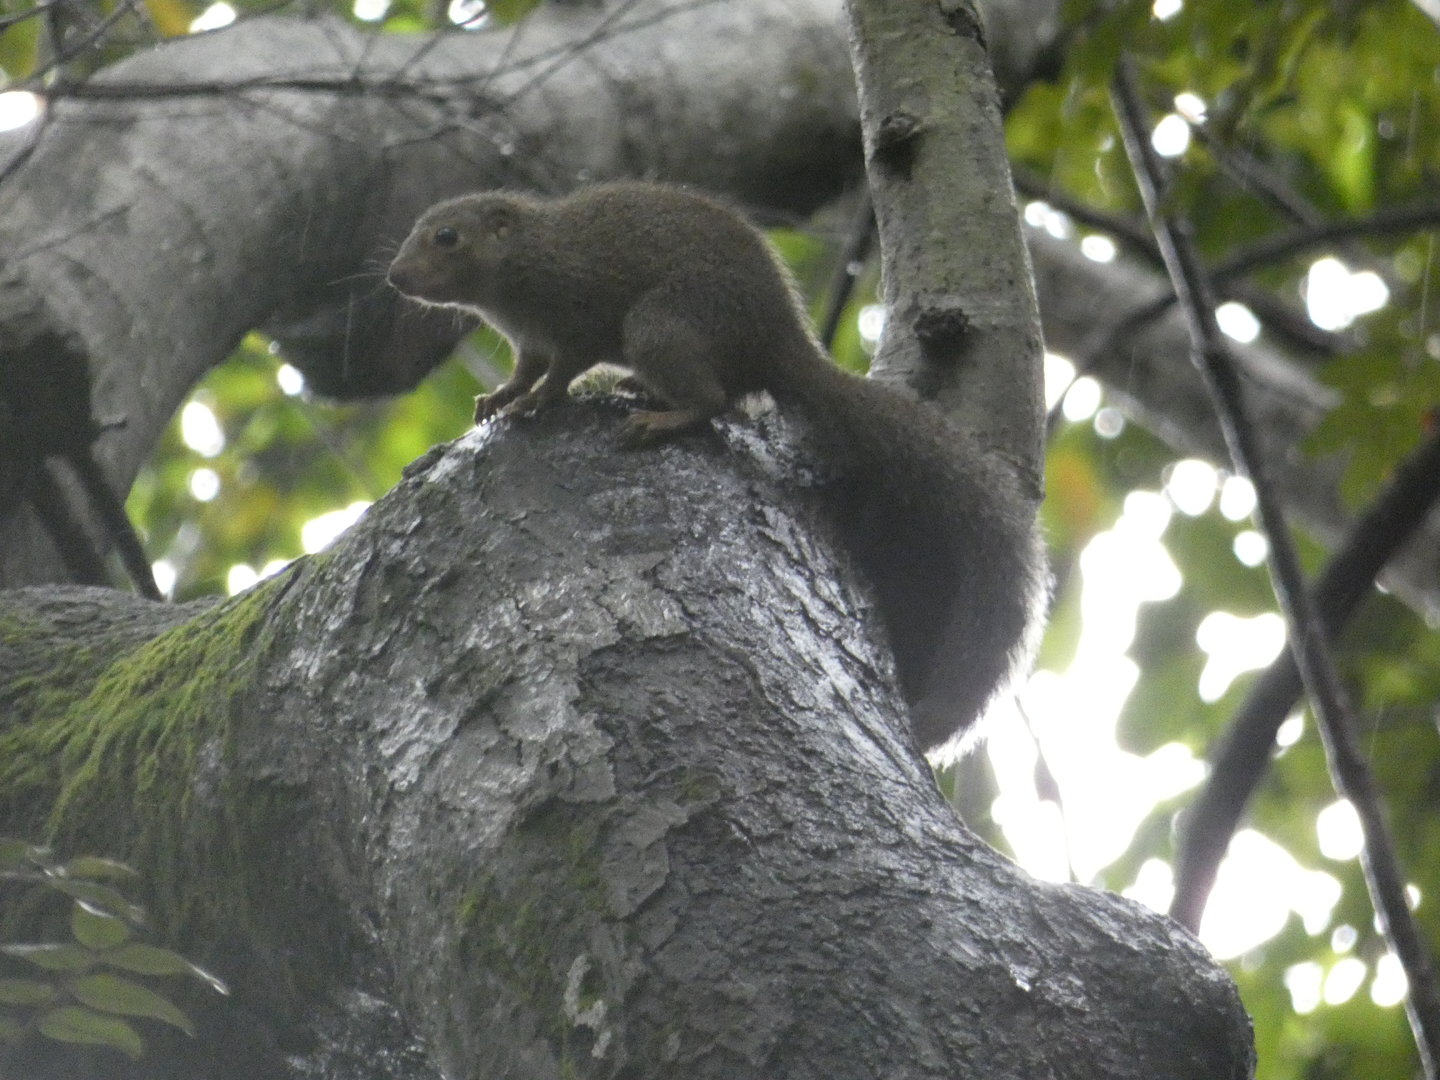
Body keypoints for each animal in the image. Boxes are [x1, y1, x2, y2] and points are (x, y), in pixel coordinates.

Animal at [387, 182, 1046, 754]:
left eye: (447, 237)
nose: (394, 276)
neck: (521, 266)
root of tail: (780, 346)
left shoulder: (577, 314)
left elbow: (560, 373)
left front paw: (532, 404)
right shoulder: (530, 341)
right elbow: (526, 371)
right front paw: (499, 398)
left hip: (661, 325)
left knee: (712, 401)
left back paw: (661, 417)